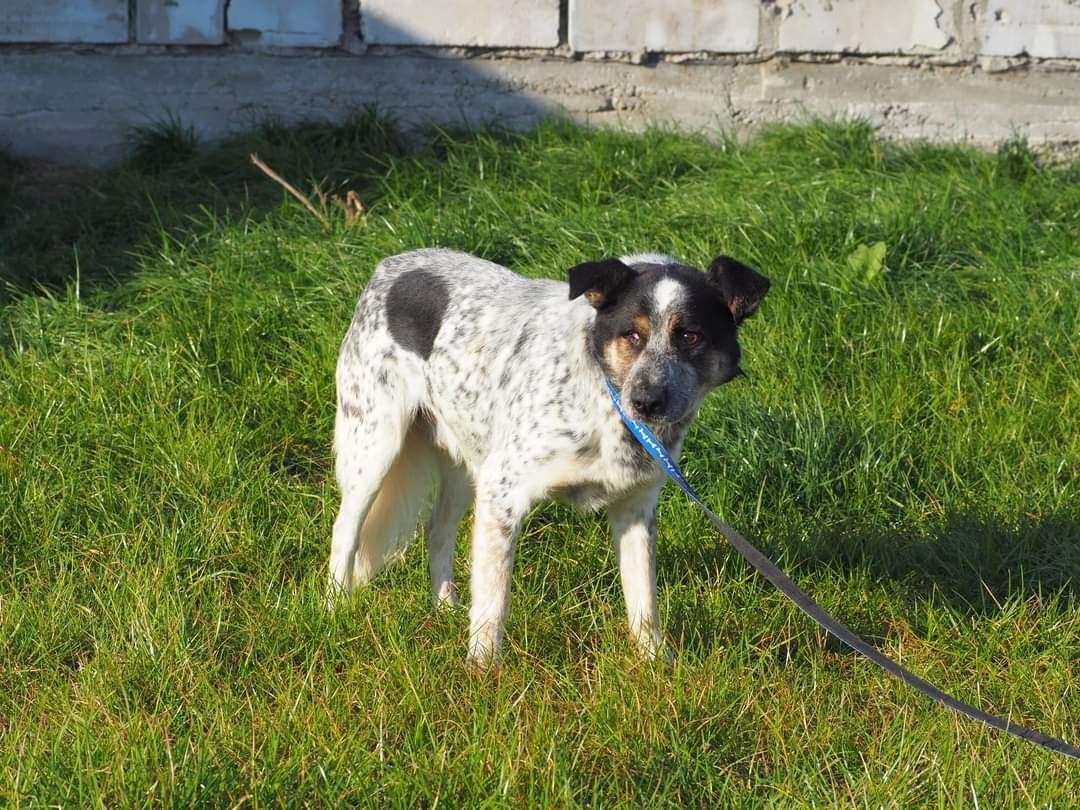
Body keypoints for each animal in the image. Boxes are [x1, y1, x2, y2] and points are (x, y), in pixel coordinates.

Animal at [328, 249, 768, 665]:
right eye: (631, 335)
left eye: (690, 336)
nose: (646, 401)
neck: (605, 400)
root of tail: (389, 266)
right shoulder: (502, 492)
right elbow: (493, 599)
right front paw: (483, 668)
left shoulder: (636, 508)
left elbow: (643, 599)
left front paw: (656, 662)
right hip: (375, 448)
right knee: (345, 533)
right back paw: (336, 610)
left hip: (467, 461)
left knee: (438, 530)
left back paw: (445, 608)